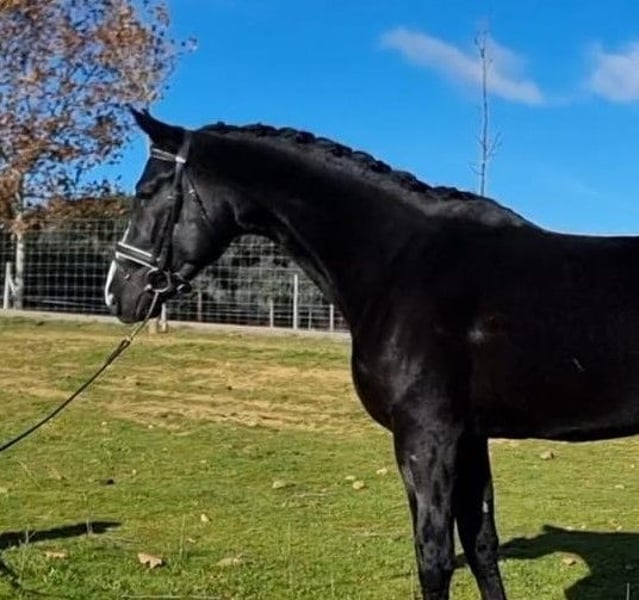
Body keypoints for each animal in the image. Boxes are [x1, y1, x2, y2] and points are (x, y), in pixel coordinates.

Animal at [105, 108, 639, 600]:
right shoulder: (469, 437)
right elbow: (481, 545)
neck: (399, 262)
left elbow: (434, 558)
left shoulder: (426, 437)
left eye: (146, 191)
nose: (117, 293)